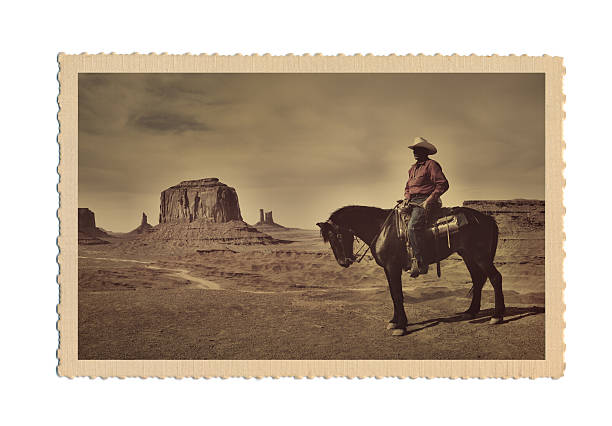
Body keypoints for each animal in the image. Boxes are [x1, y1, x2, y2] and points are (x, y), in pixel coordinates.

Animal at [318, 206, 504, 336]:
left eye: (338, 236)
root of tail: (487, 218)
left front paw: (401, 326)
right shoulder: (388, 269)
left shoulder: (393, 267)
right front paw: (394, 321)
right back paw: (471, 311)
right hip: (467, 255)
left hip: (480, 256)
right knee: (478, 279)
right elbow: (393, 294)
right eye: (329, 240)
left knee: (495, 278)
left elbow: (398, 295)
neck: (381, 229)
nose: (343, 262)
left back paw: (497, 316)